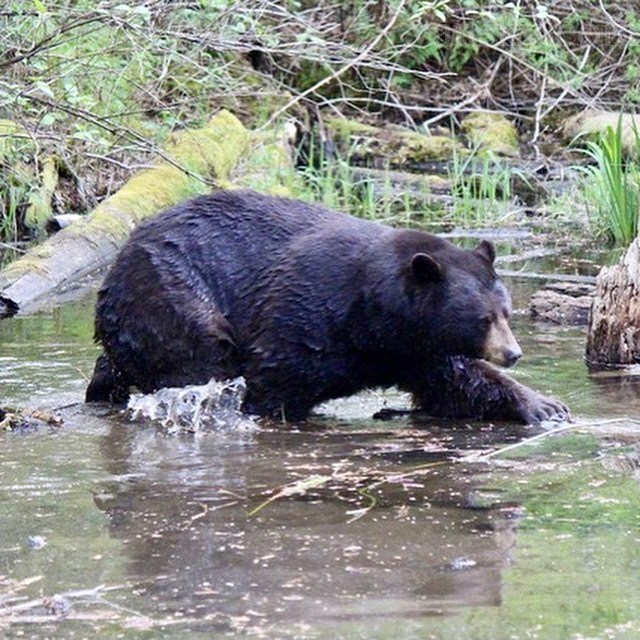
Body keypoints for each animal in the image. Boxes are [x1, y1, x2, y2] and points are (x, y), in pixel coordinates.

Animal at [86, 190, 570, 425]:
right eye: (483, 318)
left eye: (505, 311)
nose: (513, 353)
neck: (375, 318)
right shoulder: (307, 312)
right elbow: (274, 376)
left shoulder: (416, 349)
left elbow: (458, 379)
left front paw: (545, 406)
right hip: (172, 290)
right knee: (203, 352)